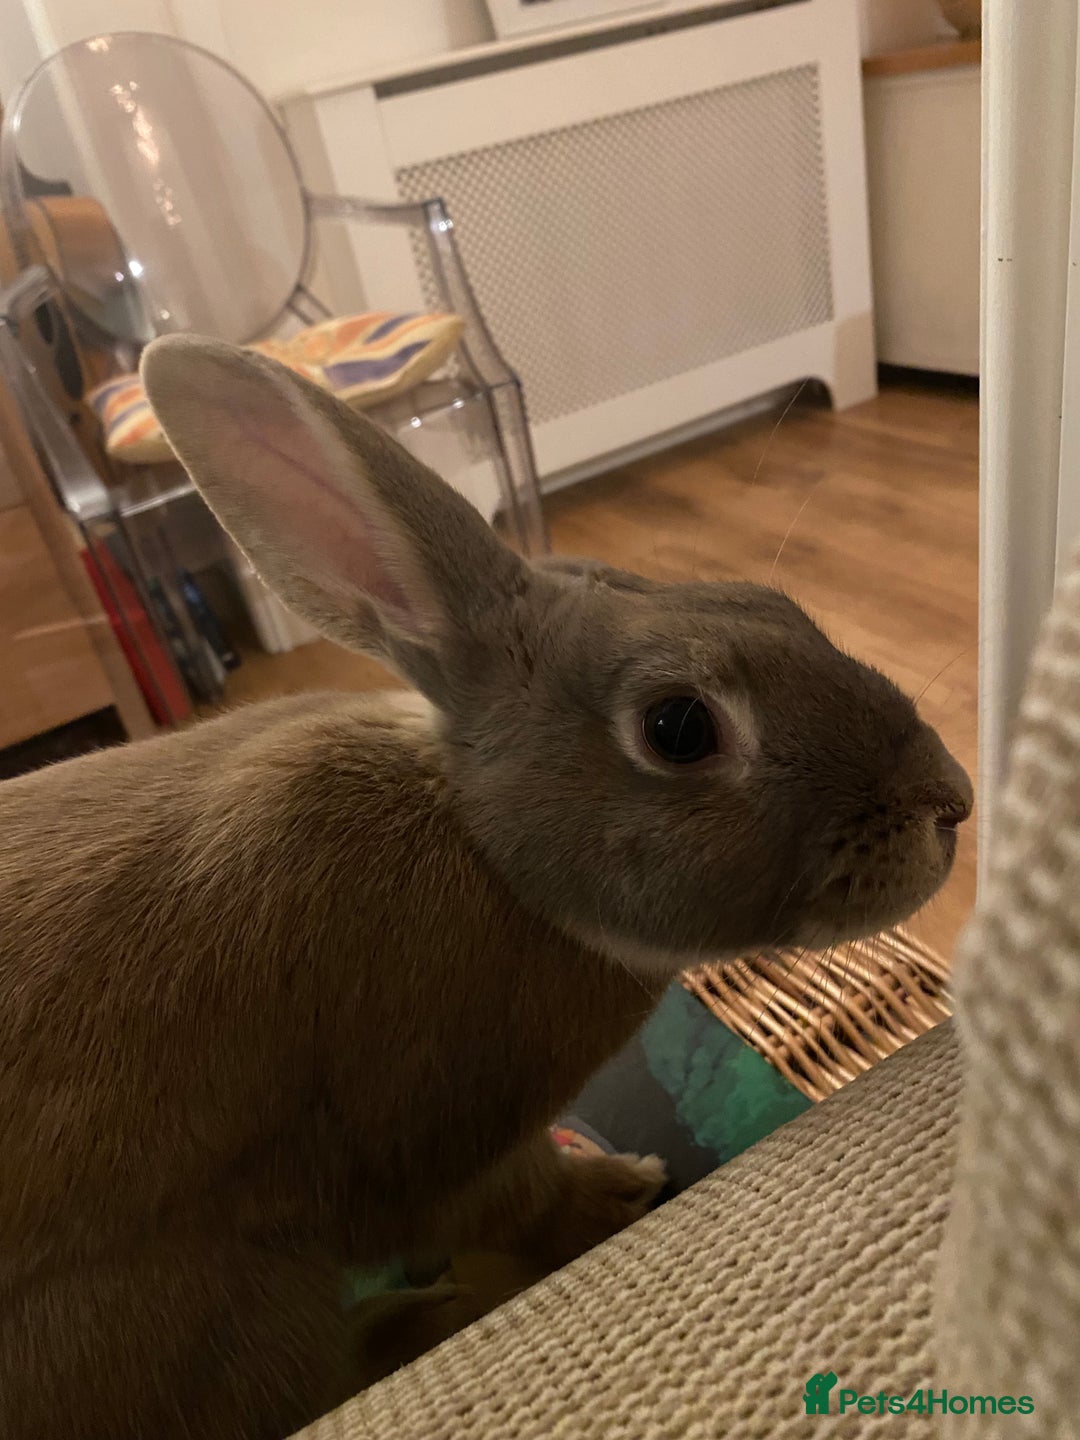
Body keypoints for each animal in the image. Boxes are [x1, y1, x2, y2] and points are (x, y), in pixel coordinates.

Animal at [0, 335, 972, 1440]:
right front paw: (622, 1191)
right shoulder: (446, 1148)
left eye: (775, 607)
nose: (951, 801)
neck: (491, 853)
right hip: (222, 1310)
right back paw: (425, 1316)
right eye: (680, 728)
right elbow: (526, 1203)